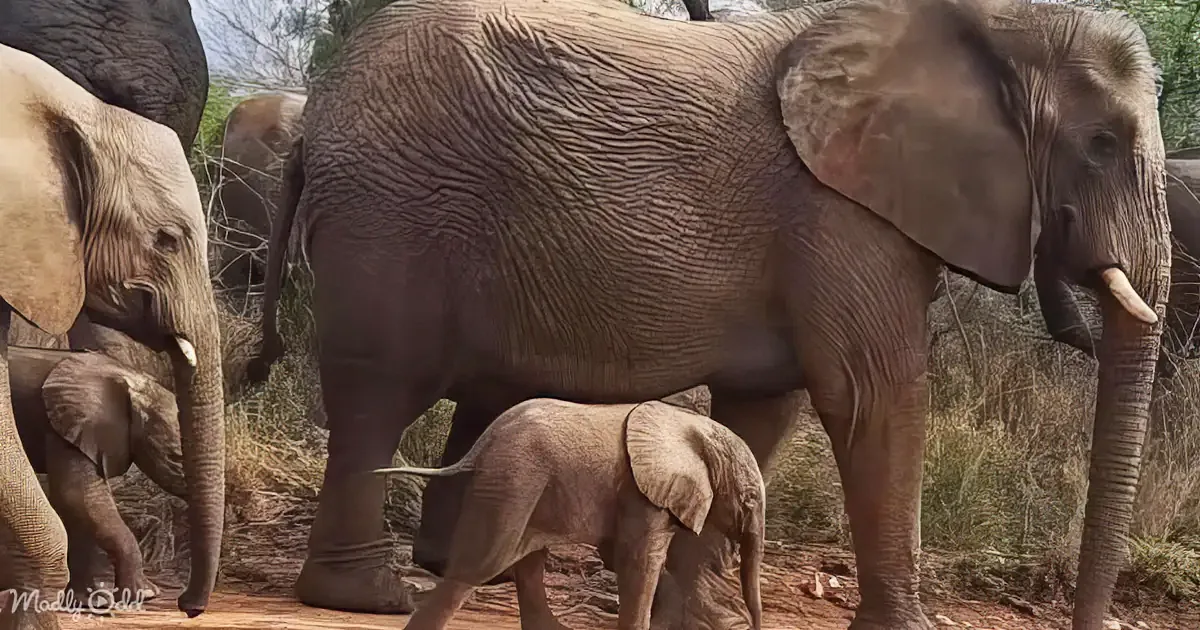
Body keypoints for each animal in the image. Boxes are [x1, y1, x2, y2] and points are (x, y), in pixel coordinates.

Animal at [9, 346, 185, 608]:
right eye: (175, 458)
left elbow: (81, 505)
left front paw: (88, 602)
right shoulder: (64, 426)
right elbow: (77, 497)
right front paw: (144, 595)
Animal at [376, 398, 765, 630]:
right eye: (748, 498)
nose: (752, 625)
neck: (691, 424)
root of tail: (484, 441)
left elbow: (619, 556)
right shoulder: (641, 492)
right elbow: (639, 561)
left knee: (527, 561)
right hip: (516, 480)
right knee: (481, 564)